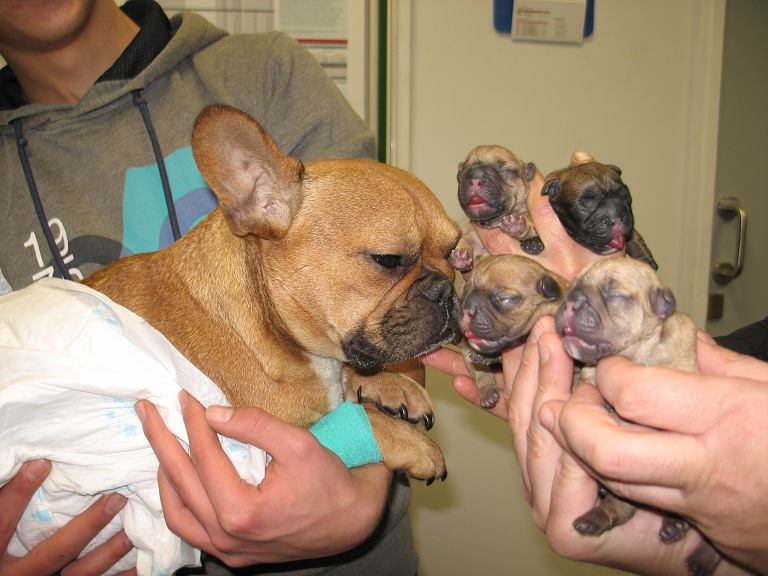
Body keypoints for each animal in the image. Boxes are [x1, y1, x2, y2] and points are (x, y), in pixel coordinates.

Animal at [84, 104, 463, 482]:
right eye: (387, 259)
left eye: (454, 252)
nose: (445, 290)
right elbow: (353, 420)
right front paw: (409, 441)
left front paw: (390, 384)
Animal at [555, 257, 721, 576]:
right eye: (572, 287)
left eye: (613, 294)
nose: (569, 302)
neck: (634, 353)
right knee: (619, 509)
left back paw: (690, 544)